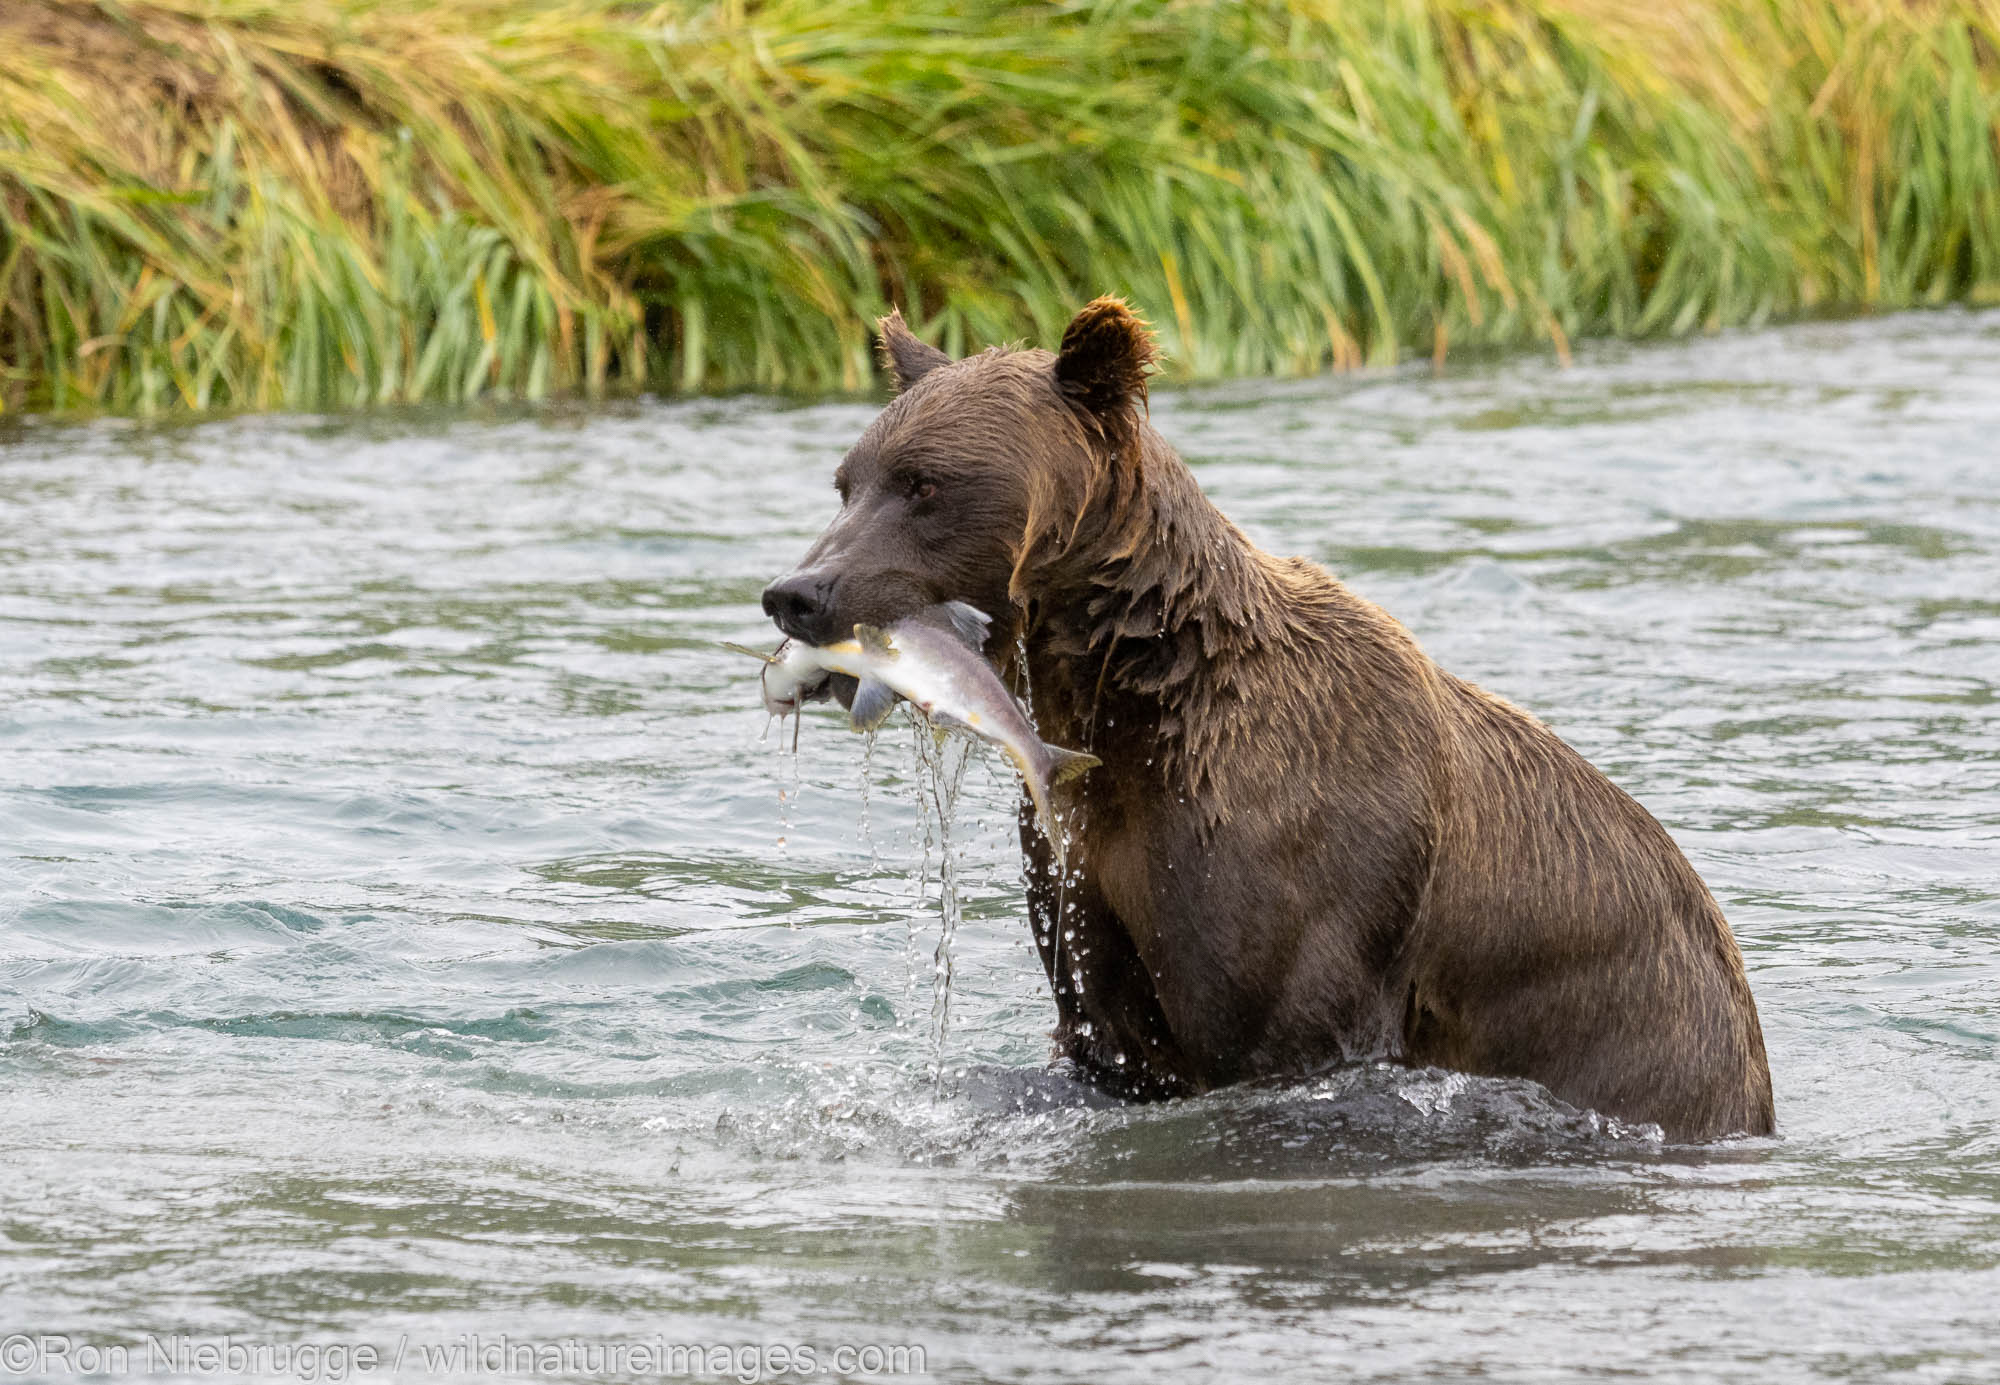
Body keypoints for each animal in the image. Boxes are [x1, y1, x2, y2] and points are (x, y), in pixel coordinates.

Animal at [764, 298, 1784, 1144]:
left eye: (926, 484)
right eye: (847, 481)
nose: (797, 591)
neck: (1125, 704)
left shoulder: (1300, 865)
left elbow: (1269, 1019)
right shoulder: (1082, 861)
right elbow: (1100, 1029)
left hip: (1646, 1042)